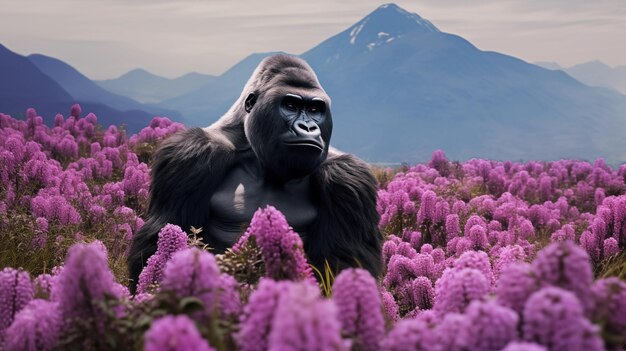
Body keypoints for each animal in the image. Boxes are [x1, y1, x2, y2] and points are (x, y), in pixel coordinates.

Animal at [127, 54, 380, 292]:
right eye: (290, 105)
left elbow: (342, 265)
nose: (309, 127)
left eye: (315, 110)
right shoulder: (192, 154)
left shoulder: (346, 178)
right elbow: (153, 249)